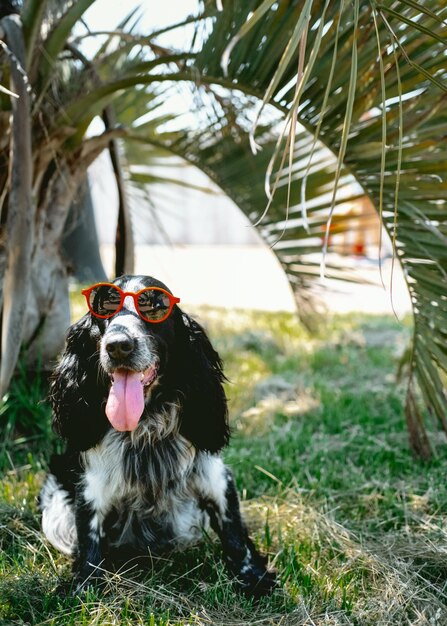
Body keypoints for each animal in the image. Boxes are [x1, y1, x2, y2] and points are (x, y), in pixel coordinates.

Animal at [39, 272, 276, 596]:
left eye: (154, 307)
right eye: (105, 307)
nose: (118, 346)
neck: (144, 429)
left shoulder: (216, 477)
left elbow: (234, 531)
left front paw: (252, 575)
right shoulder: (90, 489)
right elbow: (89, 542)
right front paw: (85, 588)